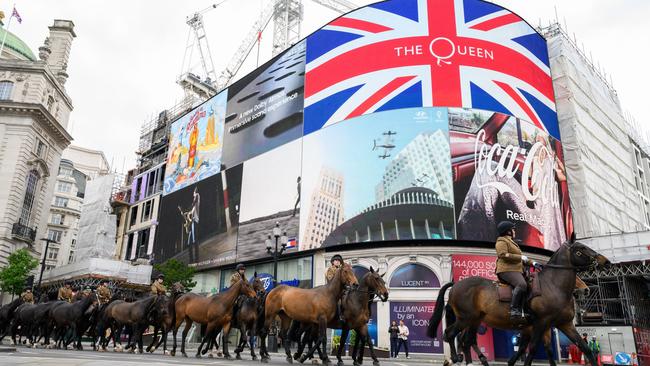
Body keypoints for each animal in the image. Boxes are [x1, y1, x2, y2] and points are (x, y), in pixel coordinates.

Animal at [426, 242, 608, 366]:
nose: (605, 261)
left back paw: (478, 360)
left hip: (474, 319)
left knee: (467, 340)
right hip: (465, 318)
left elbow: (584, 348)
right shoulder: (541, 323)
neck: (553, 285)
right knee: (450, 334)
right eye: (580, 249)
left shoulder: (563, 324)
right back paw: (455, 358)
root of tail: (456, 284)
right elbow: (532, 349)